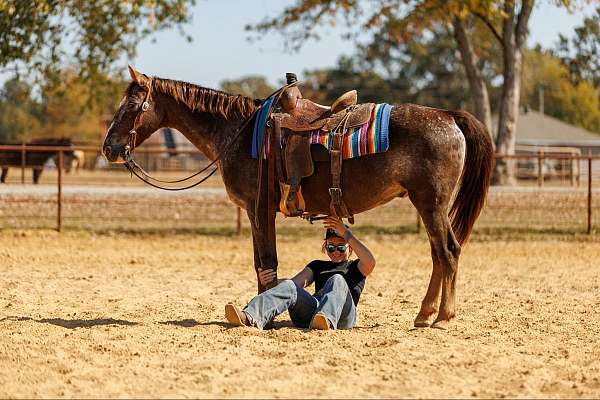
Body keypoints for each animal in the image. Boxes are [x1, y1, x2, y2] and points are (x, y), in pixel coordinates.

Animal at [103, 66, 494, 328]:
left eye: (132, 106)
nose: (109, 148)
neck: (239, 132)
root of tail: (449, 116)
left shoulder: (258, 210)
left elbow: (266, 264)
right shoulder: (257, 212)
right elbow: (265, 266)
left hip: (431, 203)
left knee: (448, 251)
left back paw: (442, 318)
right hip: (427, 205)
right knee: (438, 255)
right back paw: (425, 314)